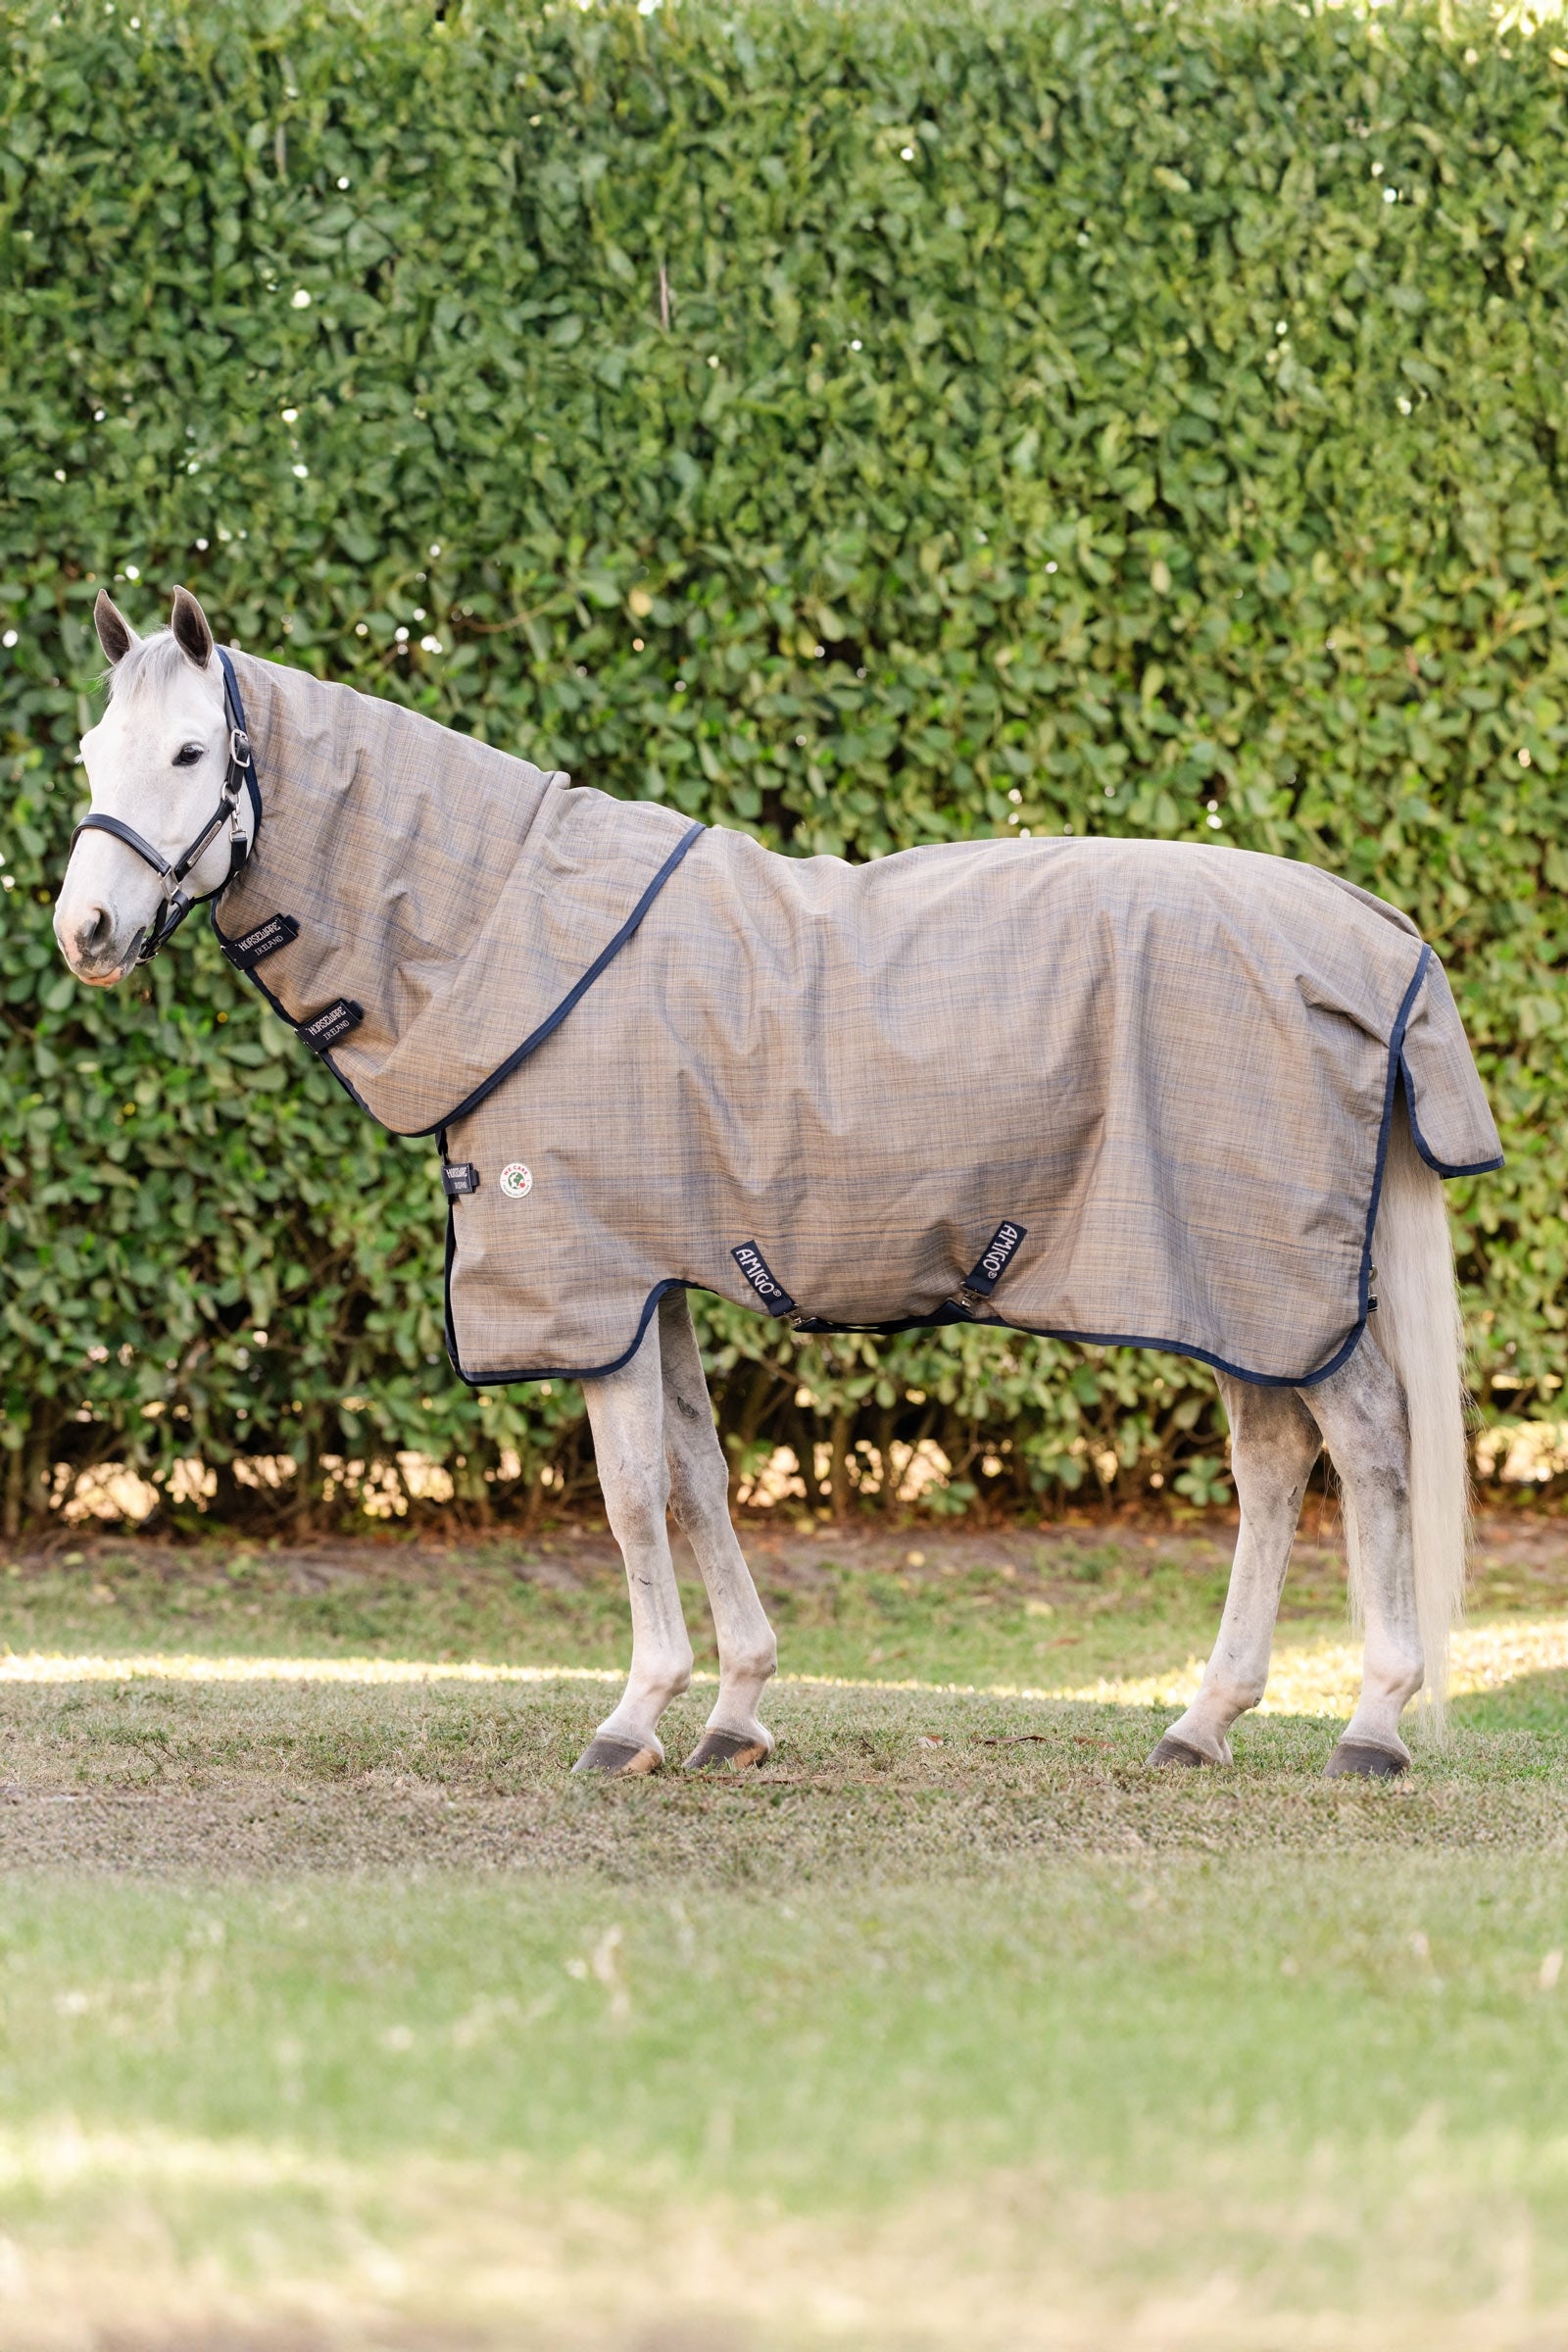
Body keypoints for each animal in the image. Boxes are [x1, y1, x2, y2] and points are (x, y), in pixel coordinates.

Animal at [53, 586, 1499, 1781]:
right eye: (87, 756)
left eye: (191, 755)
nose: (86, 932)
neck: (508, 939)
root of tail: (1376, 936)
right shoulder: (658, 1278)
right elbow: (697, 1473)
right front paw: (735, 1710)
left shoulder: (591, 1283)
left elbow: (632, 1494)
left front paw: (633, 1715)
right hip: (1228, 1286)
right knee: (1274, 1461)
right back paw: (1203, 1723)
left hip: (1264, 1279)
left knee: (1365, 1449)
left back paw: (1372, 1725)